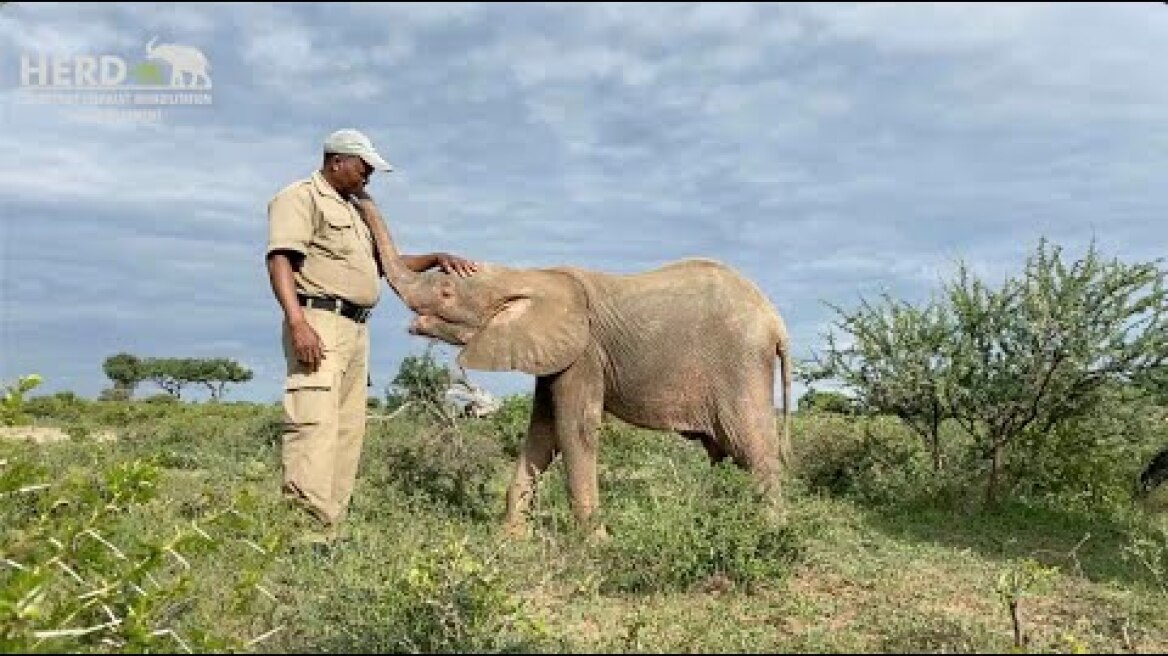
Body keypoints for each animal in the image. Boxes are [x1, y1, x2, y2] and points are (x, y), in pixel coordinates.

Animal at [358, 207, 792, 535]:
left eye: (446, 294)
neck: (527, 275)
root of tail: (775, 321)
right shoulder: (552, 355)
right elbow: (542, 431)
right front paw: (510, 539)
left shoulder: (584, 353)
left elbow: (574, 428)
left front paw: (595, 543)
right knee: (728, 453)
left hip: (740, 364)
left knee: (751, 447)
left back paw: (772, 532)